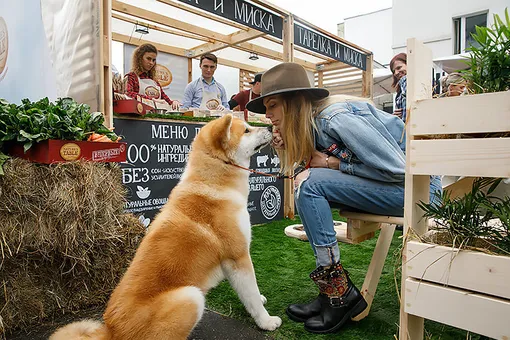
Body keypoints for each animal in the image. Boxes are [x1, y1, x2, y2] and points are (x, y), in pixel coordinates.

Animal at [50, 115, 282, 340]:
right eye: (246, 130)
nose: (271, 127)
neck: (213, 182)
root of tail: (111, 330)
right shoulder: (238, 256)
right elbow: (251, 294)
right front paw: (266, 321)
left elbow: (250, 292)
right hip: (191, 296)